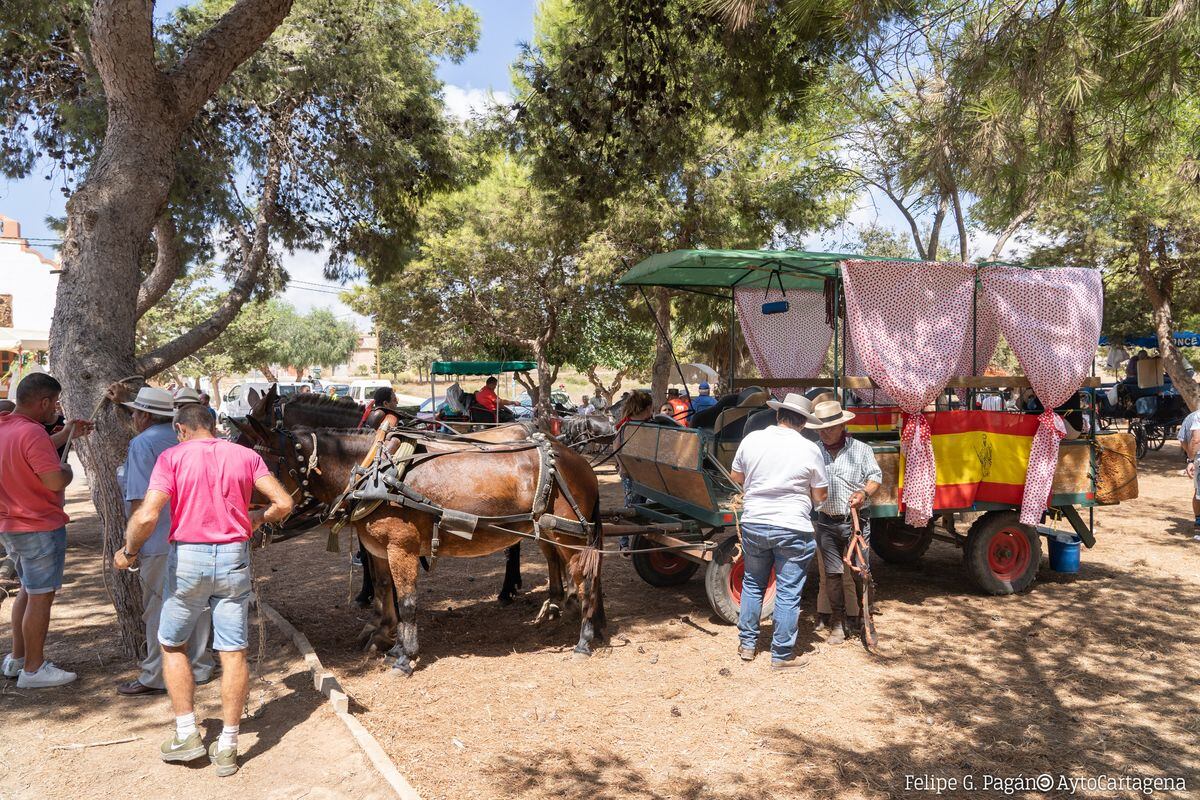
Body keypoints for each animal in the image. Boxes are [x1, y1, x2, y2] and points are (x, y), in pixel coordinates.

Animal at [242, 419, 604, 676]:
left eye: (263, 468)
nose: (250, 527)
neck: (374, 472)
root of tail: (576, 460)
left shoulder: (400, 548)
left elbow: (407, 601)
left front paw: (405, 656)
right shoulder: (379, 549)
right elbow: (384, 589)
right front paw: (388, 641)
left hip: (569, 536)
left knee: (585, 579)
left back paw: (583, 640)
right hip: (554, 533)